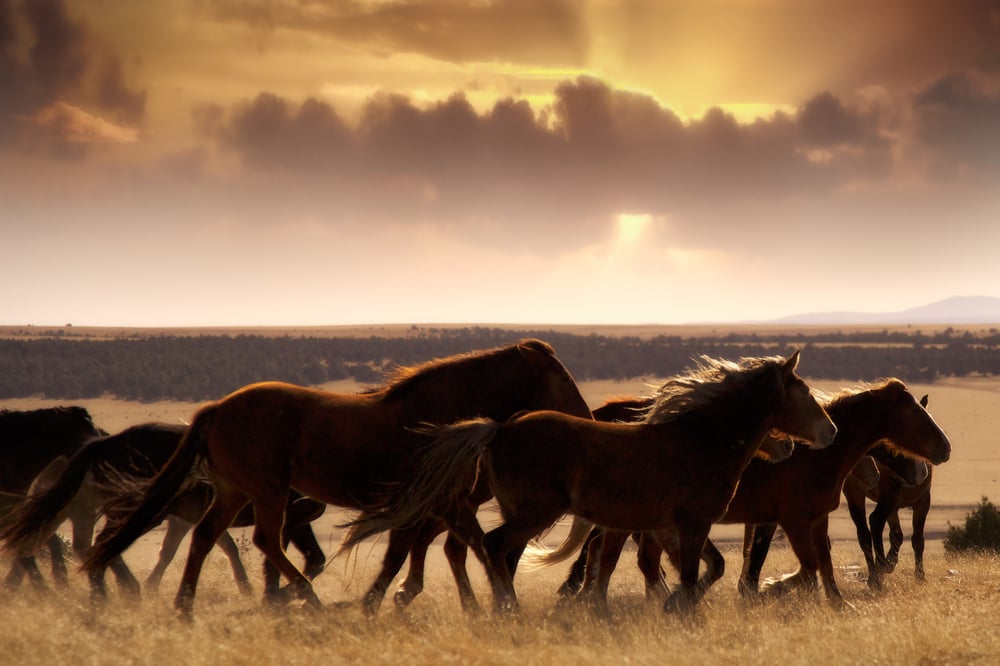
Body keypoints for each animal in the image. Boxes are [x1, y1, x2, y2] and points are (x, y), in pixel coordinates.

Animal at [84, 340, 592, 616]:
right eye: (564, 379)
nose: (587, 418)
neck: (435, 416)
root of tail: (217, 409)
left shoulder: (432, 504)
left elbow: (414, 552)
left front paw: (381, 602)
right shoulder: (441, 502)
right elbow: (463, 547)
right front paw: (501, 603)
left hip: (233, 492)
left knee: (206, 537)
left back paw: (185, 608)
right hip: (267, 491)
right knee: (266, 541)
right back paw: (306, 598)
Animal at [342, 350, 836, 616]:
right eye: (806, 393)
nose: (828, 432)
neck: (700, 439)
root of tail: (499, 428)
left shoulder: (656, 526)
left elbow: (677, 570)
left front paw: (667, 605)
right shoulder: (691, 526)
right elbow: (693, 573)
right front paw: (682, 611)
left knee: (491, 549)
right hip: (535, 512)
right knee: (494, 546)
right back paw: (508, 608)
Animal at [844, 394, 936, 588]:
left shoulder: (899, 506)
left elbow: (898, 535)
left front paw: (890, 562)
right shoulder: (919, 501)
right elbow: (917, 539)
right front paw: (919, 575)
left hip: (857, 495)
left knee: (864, 533)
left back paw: (875, 574)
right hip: (880, 495)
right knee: (875, 521)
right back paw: (877, 574)